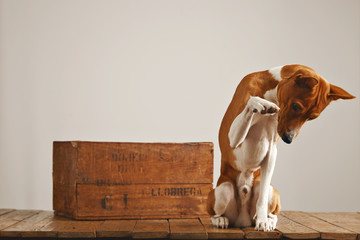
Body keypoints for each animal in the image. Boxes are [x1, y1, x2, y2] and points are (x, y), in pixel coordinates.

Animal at [207, 63, 356, 231]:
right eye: (296, 106)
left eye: (312, 117)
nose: (288, 139)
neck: (271, 92)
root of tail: (242, 220)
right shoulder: (233, 140)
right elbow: (252, 100)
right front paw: (260, 103)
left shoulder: (271, 151)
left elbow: (262, 199)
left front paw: (263, 220)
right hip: (223, 190)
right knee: (215, 212)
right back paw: (220, 220)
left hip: (272, 192)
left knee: (270, 206)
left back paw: (269, 220)